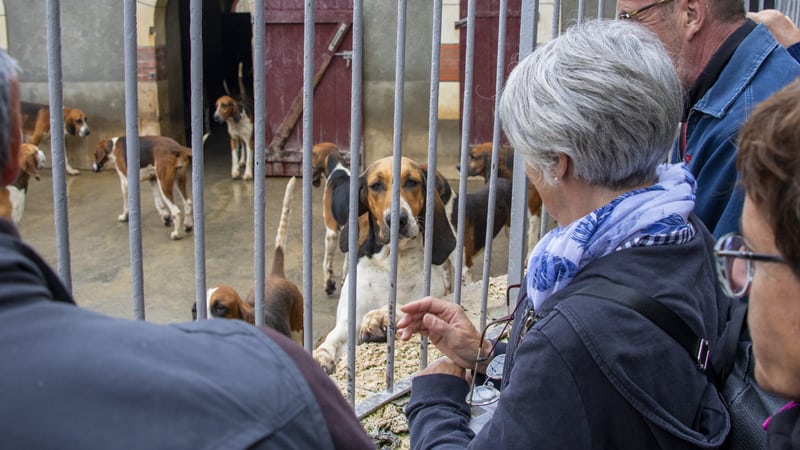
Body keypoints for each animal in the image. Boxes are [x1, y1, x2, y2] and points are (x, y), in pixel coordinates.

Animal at [312, 156, 456, 374]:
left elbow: (406, 306)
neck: (392, 262)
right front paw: (320, 355)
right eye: (376, 185)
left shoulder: (433, 298)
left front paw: (378, 317)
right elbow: (332, 339)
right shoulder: (347, 323)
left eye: (412, 182)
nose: (398, 219)